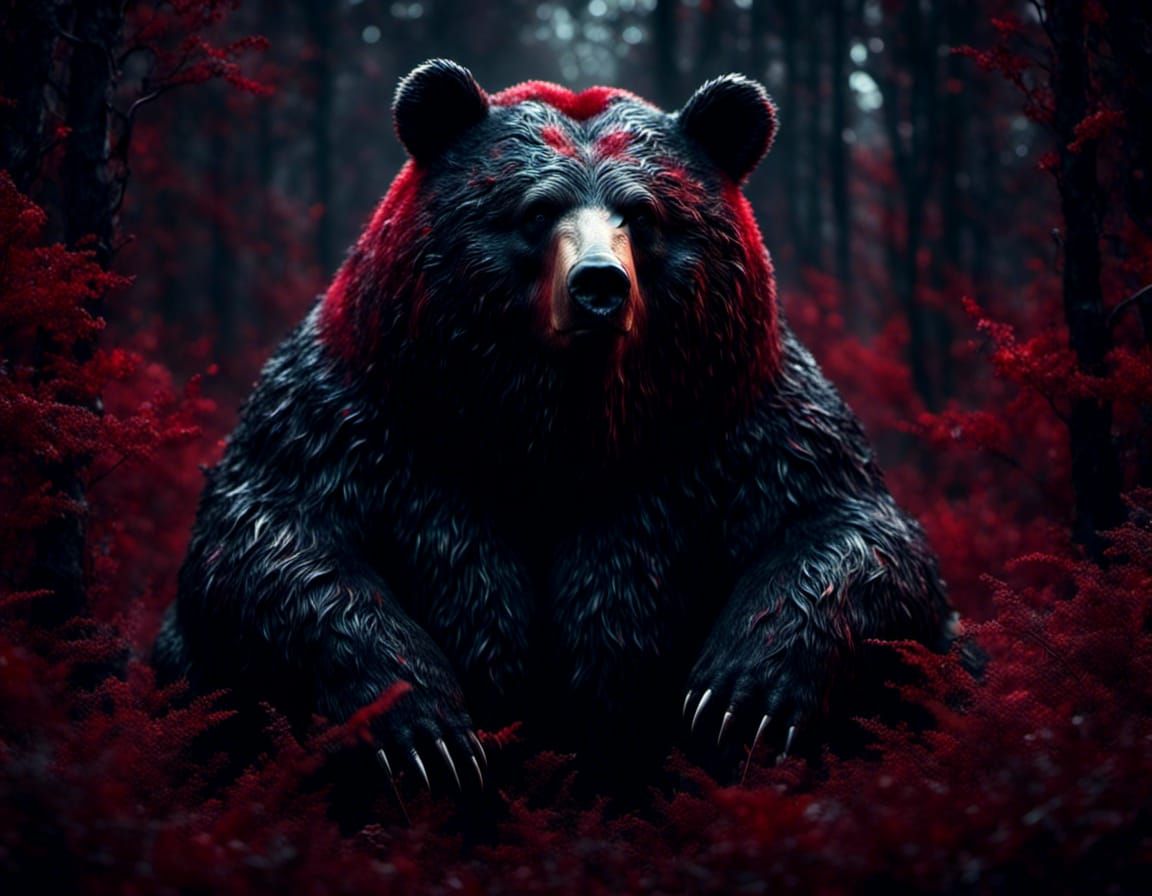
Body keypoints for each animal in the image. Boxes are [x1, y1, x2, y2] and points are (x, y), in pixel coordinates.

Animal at [154, 59, 956, 793]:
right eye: (536, 210)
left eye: (645, 213)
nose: (600, 284)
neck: (558, 432)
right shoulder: (367, 419)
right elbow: (270, 542)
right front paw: (424, 736)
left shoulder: (735, 425)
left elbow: (853, 532)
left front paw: (739, 699)